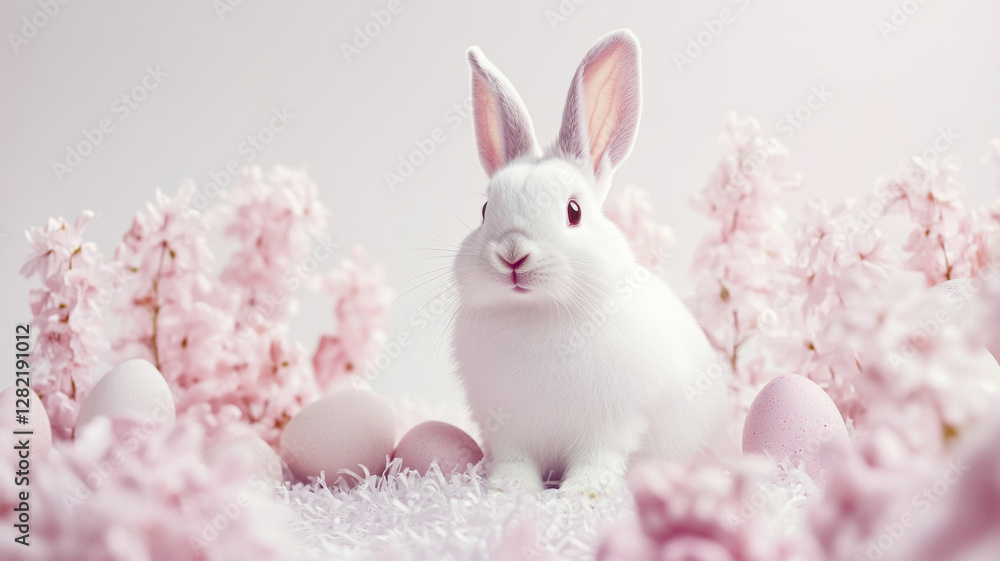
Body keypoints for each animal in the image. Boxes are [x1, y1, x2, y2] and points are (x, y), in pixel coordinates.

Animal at [451, 29, 727, 496]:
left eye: (574, 211)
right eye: (487, 210)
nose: (512, 254)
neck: (537, 313)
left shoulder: (614, 422)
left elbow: (599, 457)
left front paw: (583, 493)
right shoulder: (507, 429)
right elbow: (514, 460)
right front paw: (509, 489)